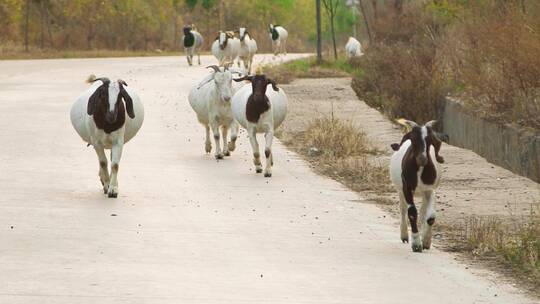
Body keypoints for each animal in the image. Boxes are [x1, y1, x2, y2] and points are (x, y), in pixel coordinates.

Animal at [388, 119, 442, 252]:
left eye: (429, 139)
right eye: (413, 138)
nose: (422, 159)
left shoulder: (430, 189)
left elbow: (430, 217)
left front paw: (426, 241)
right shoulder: (407, 188)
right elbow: (412, 213)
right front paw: (416, 243)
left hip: (423, 193)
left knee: (423, 212)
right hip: (400, 191)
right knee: (403, 209)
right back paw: (404, 236)